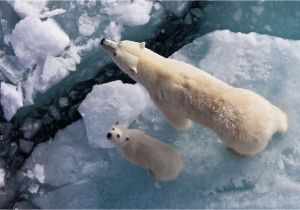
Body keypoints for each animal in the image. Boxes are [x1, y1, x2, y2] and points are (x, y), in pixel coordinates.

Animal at [101, 38, 288, 156]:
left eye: (116, 52)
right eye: (119, 42)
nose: (103, 40)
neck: (159, 71)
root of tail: (269, 127)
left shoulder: (161, 97)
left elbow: (178, 121)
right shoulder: (183, 66)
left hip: (241, 137)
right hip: (256, 99)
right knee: (277, 113)